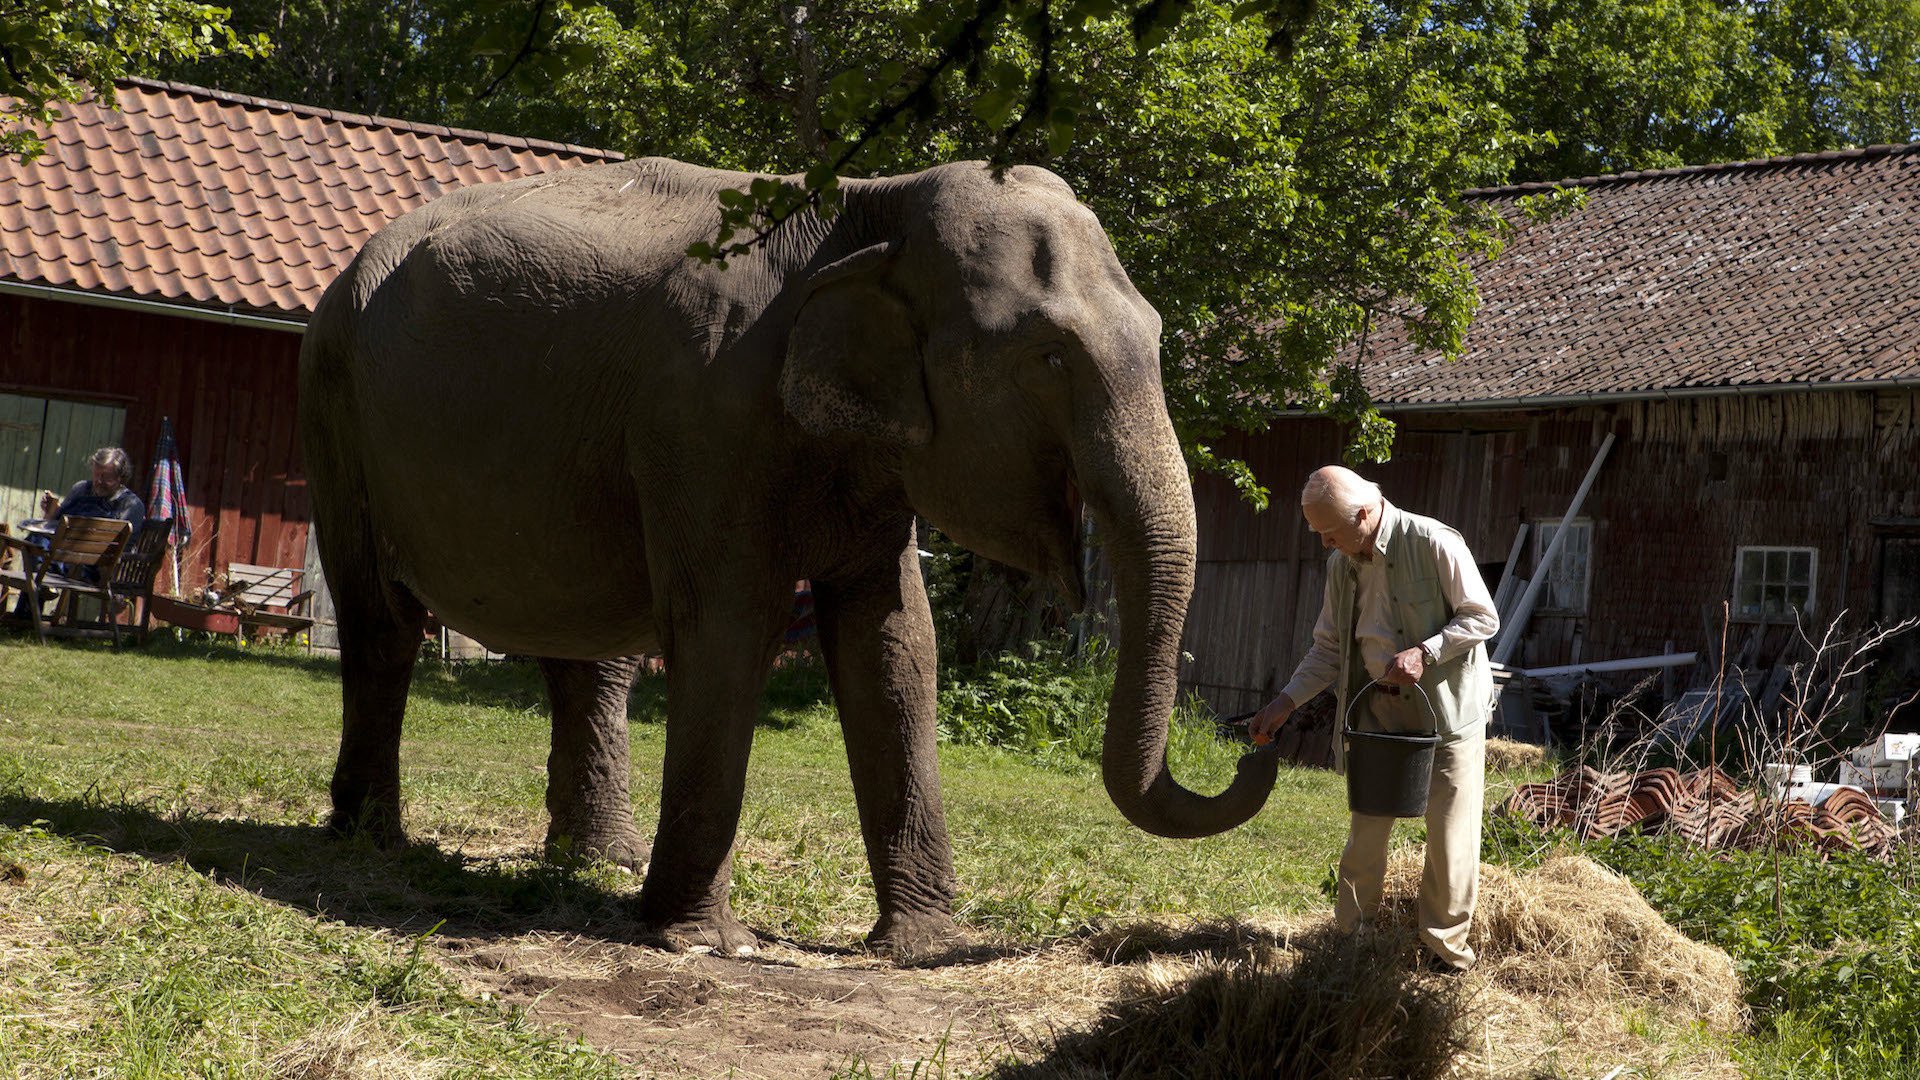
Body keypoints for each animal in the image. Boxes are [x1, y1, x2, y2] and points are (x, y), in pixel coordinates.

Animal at [299, 153, 1282, 949]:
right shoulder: (706, 413)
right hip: (334, 396)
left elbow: (894, 642)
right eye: (1046, 356)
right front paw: (701, 943)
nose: (1255, 746)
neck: (873, 205)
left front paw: (920, 946)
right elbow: (731, 624)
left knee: (585, 644)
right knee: (381, 623)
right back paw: (372, 838)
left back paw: (599, 862)